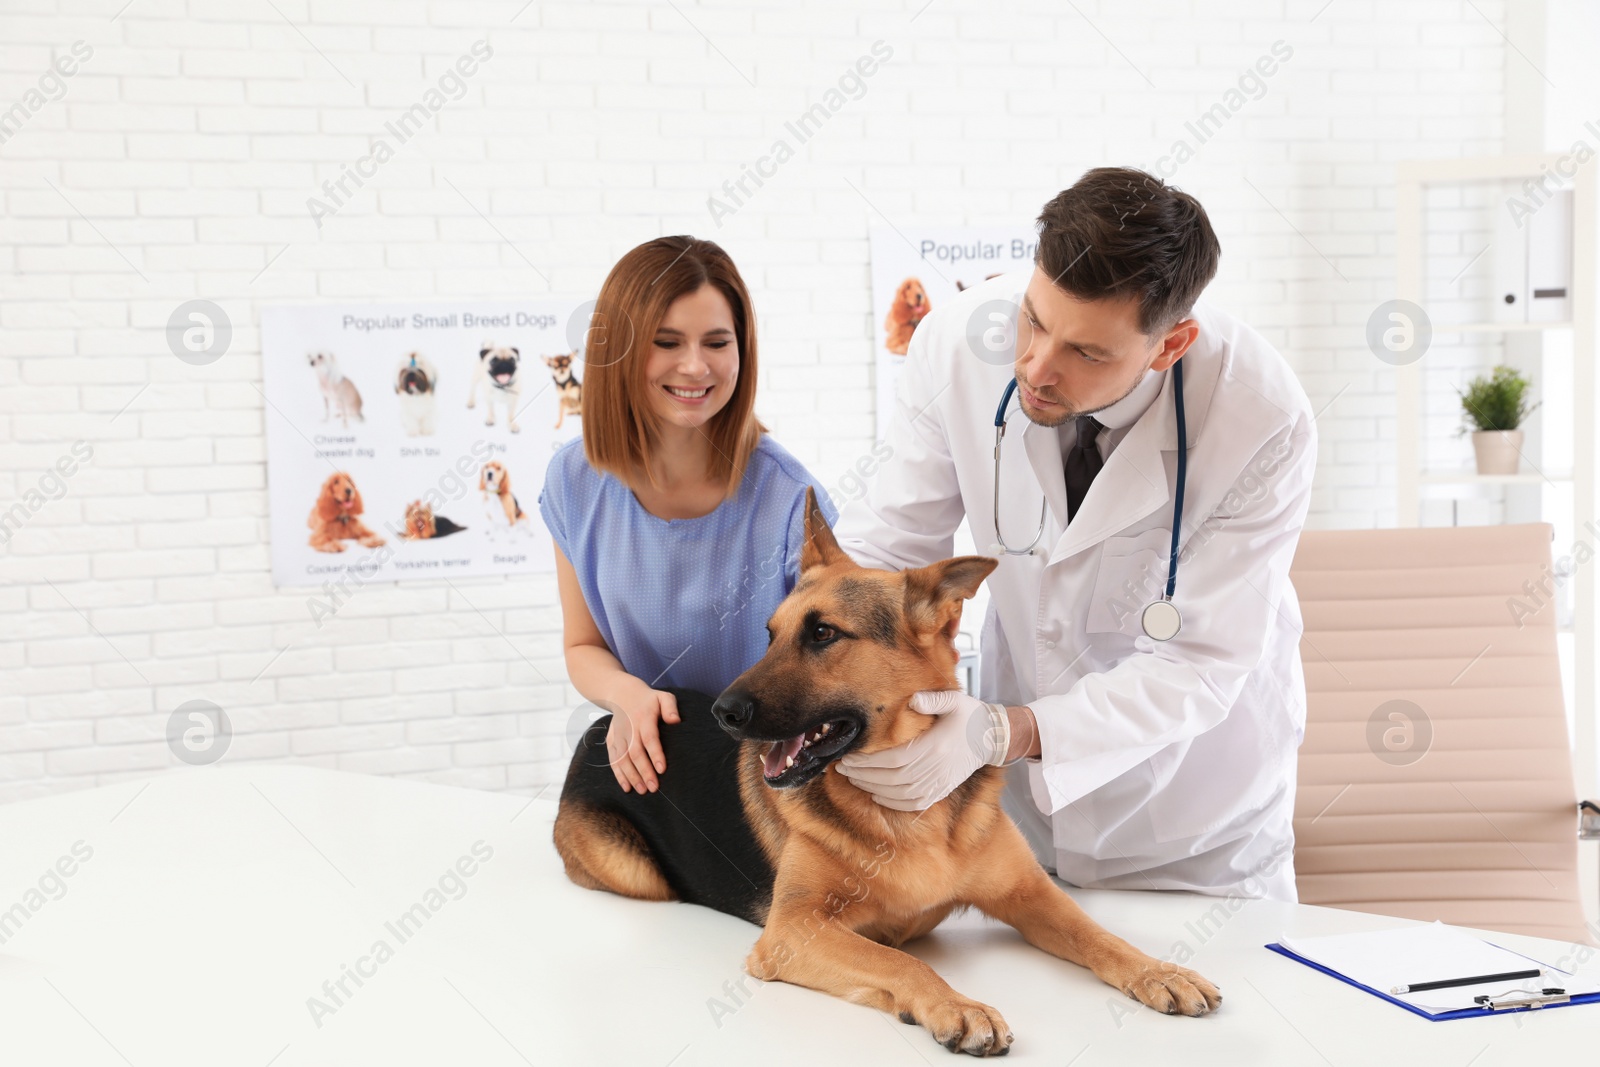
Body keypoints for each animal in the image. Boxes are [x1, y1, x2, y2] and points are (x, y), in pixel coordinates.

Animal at [556, 495, 1216, 1062]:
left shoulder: (1030, 894)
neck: (904, 809)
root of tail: (602, 725)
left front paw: (1158, 970)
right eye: (770, 635)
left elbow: (1098, 935)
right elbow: (903, 963)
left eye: (823, 633)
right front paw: (957, 1006)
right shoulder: (793, 931)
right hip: (637, 873)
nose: (723, 712)